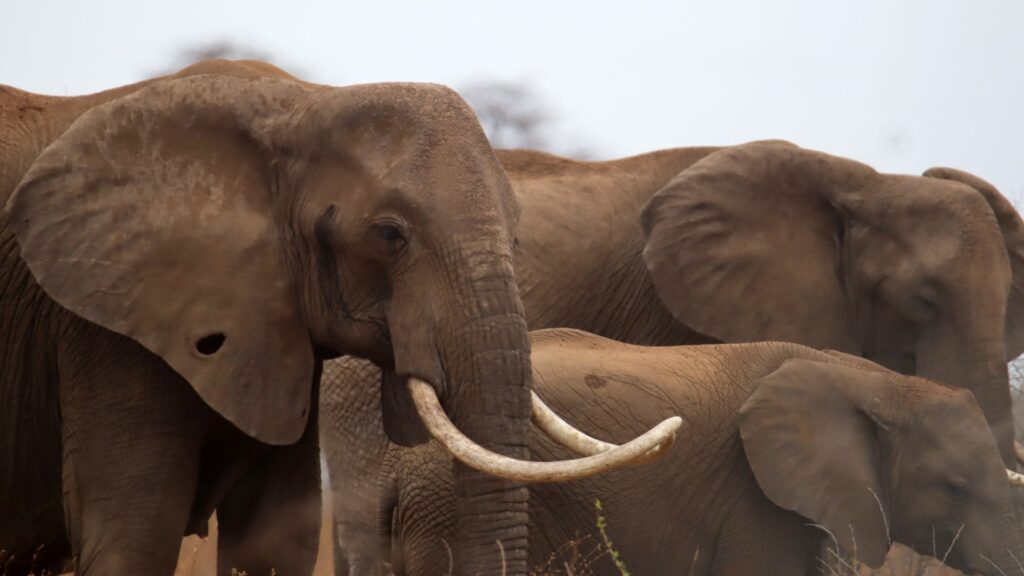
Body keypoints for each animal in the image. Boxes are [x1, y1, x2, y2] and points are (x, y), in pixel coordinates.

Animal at [0, 61, 668, 576]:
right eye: (391, 235)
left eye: (518, 232)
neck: (298, 104)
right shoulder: (103, 329)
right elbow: (133, 534)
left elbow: (275, 540)